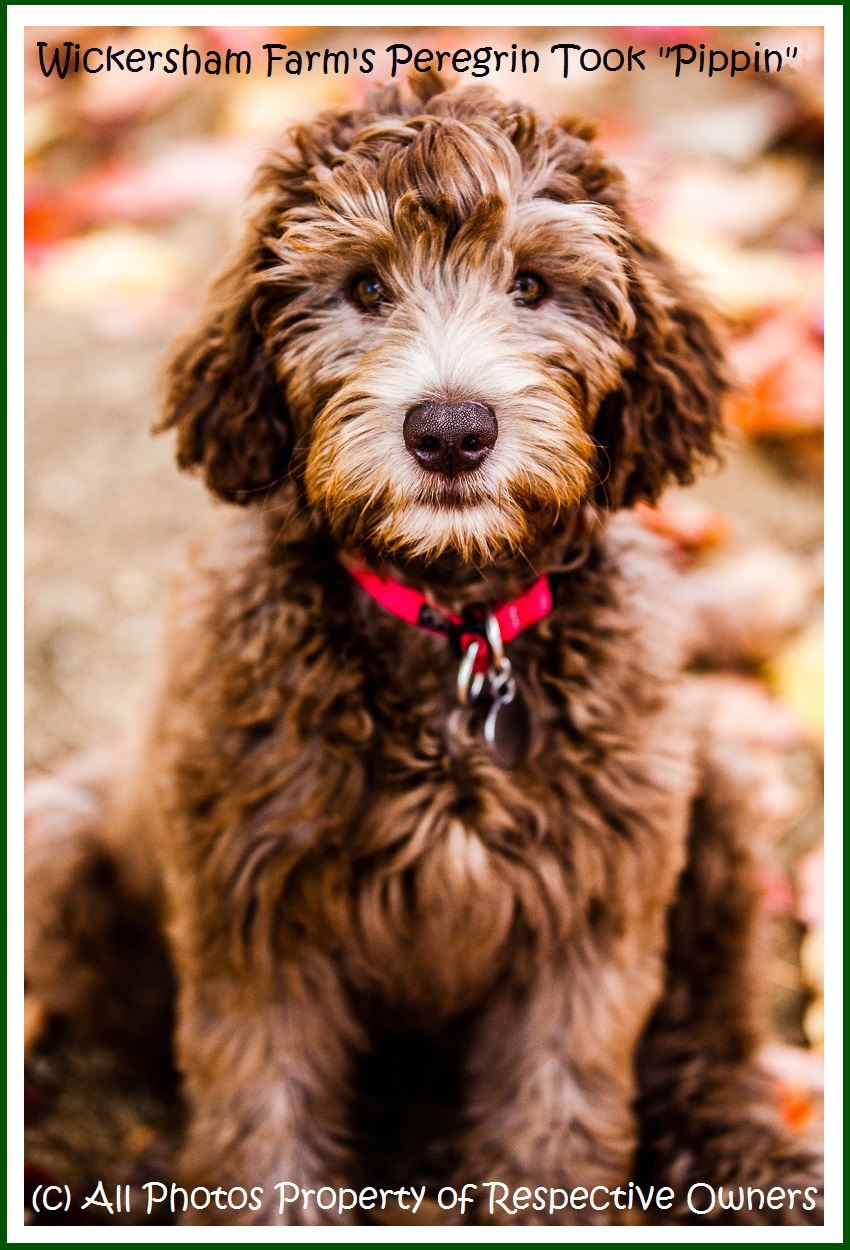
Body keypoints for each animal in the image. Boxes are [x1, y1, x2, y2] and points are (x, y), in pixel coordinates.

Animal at [28, 75, 825, 1220]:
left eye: (532, 285)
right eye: (364, 286)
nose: (450, 430)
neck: (454, 627)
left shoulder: (592, 914)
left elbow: (556, 1115)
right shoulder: (252, 912)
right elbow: (264, 1114)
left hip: (703, 790)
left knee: (705, 1039)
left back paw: (756, 1155)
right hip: (56, 843)